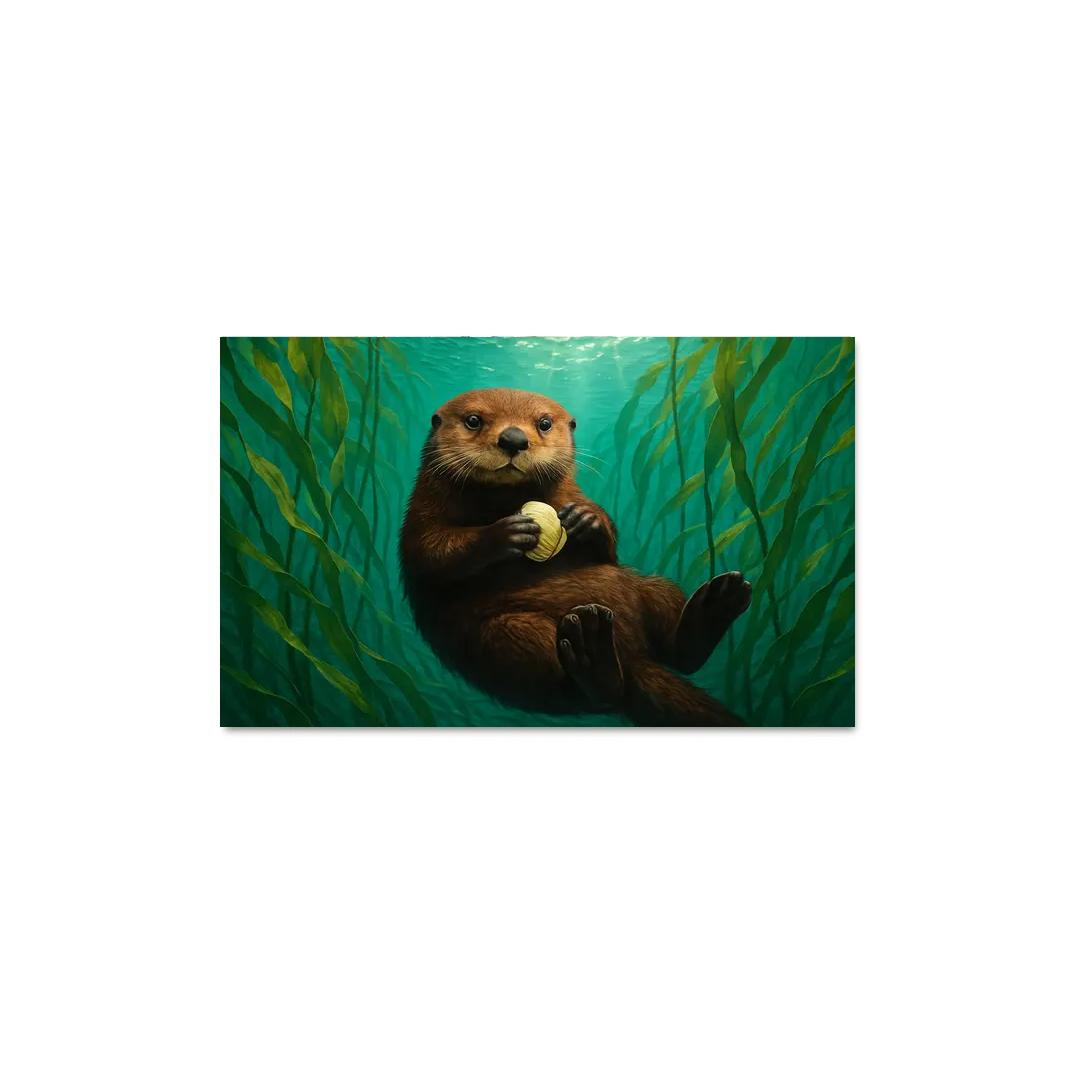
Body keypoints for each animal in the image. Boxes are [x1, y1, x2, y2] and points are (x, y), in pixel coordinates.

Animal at [399, 388, 752, 726]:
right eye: (474, 420)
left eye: (544, 423)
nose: (513, 439)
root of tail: (634, 658)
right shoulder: (423, 511)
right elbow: (430, 551)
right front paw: (506, 532)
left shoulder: (573, 496)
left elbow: (608, 552)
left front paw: (588, 519)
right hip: (508, 637)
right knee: (596, 690)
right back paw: (593, 650)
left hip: (650, 588)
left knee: (677, 648)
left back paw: (715, 604)